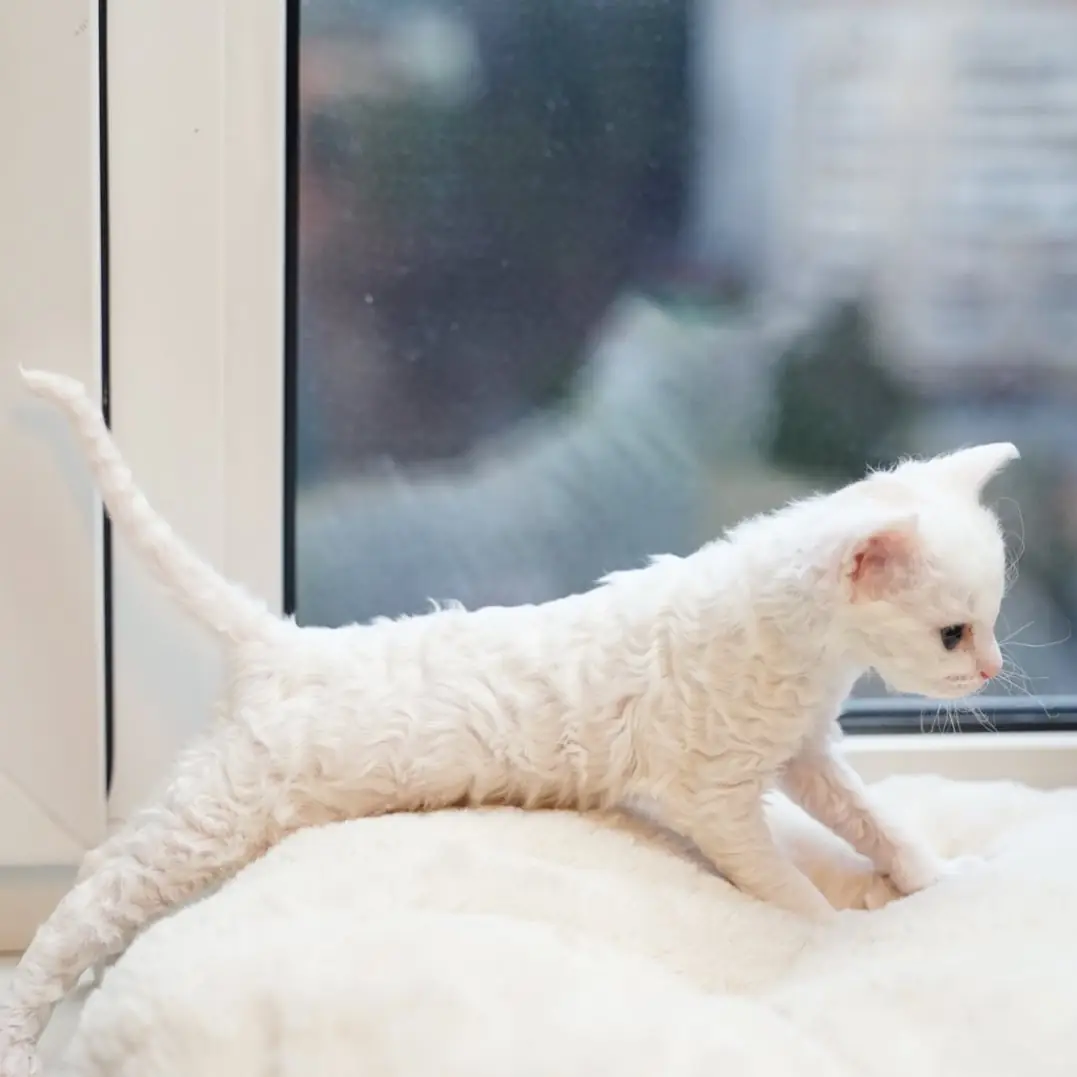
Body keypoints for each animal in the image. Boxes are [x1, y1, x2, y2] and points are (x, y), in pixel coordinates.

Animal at [0, 367, 1017, 1077]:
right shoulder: (716, 799)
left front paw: (935, 878)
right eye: (953, 631)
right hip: (214, 816)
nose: (996, 668)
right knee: (85, 901)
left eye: (992, 618)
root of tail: (285, 643)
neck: (800, 649)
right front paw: (836, 931)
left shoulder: (804, 754)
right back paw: (22, 1032)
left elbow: (878, 821)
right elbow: (785, 886)